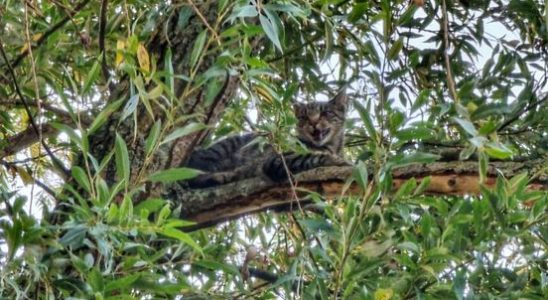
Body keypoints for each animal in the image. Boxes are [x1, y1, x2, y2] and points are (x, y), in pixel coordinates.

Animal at [183, 89, 346, 188]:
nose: (313, 122)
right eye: (304, 117)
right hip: (224, 146)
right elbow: (312, 157)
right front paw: (338, 161)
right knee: (191, 175)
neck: (329, 146)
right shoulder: (277, 160)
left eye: (326, 113)